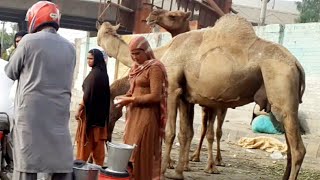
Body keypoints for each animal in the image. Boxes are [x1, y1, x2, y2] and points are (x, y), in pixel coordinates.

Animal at [97, 14, 304, 180]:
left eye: (111, 109)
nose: (107, 137)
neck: (164, 52)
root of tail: (296, 64)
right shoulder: (186, 96)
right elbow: (186, 133)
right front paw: (178, 172)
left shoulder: (171, 88)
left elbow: (170, 132)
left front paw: (163, 171)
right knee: (289, 147)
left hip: (282, 89)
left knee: (298, 150)